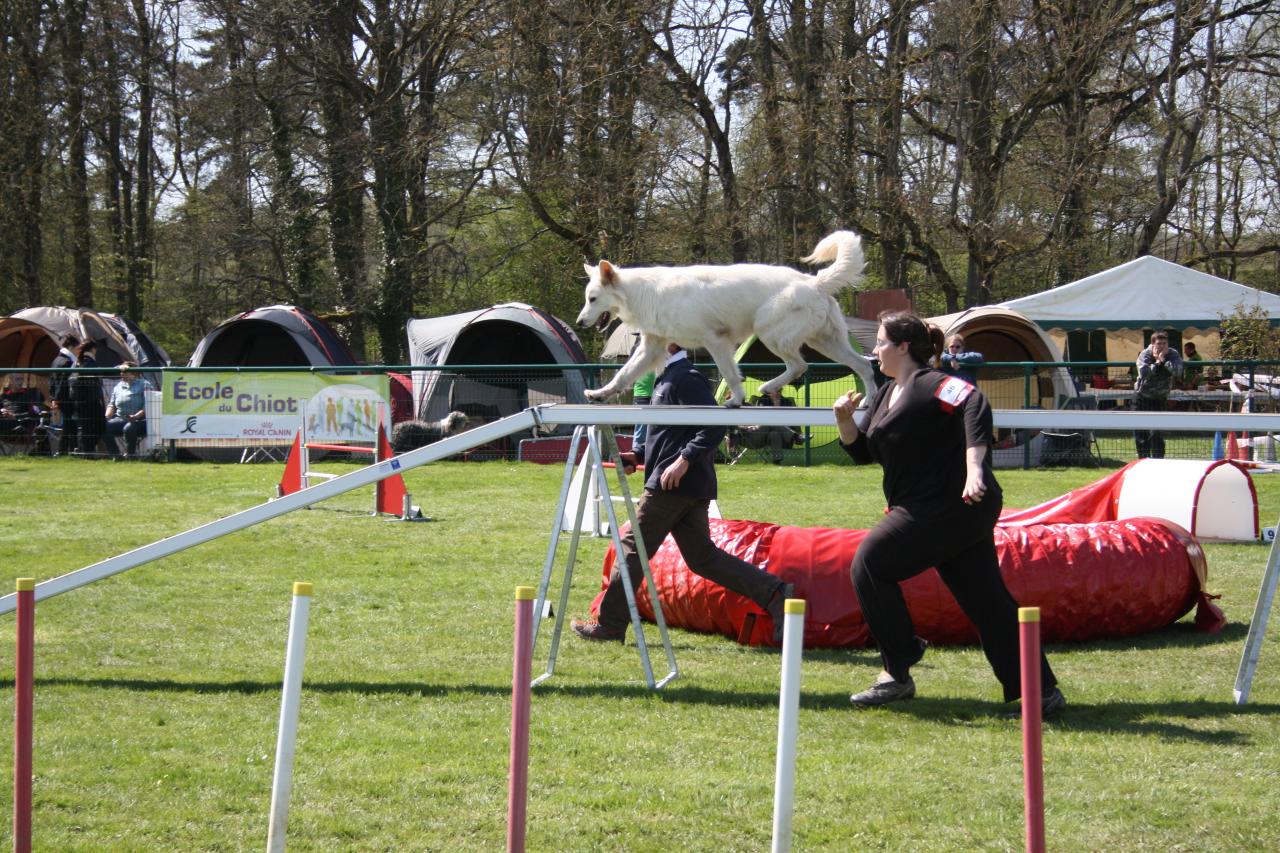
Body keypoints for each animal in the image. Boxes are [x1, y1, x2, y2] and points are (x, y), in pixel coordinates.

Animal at [576, 230, 875, 407]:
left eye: (592, 299)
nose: (579, 323)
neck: (644, 292)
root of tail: (815, 282)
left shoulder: (716, 341)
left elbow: (730, 374)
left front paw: (736, 399)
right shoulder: (651, 347)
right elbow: (623, 375)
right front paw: (600, 394)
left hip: (771, 335)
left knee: (799, 365)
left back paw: (769, 386)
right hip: (825, 342)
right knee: (863, 365)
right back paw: (868, 402)